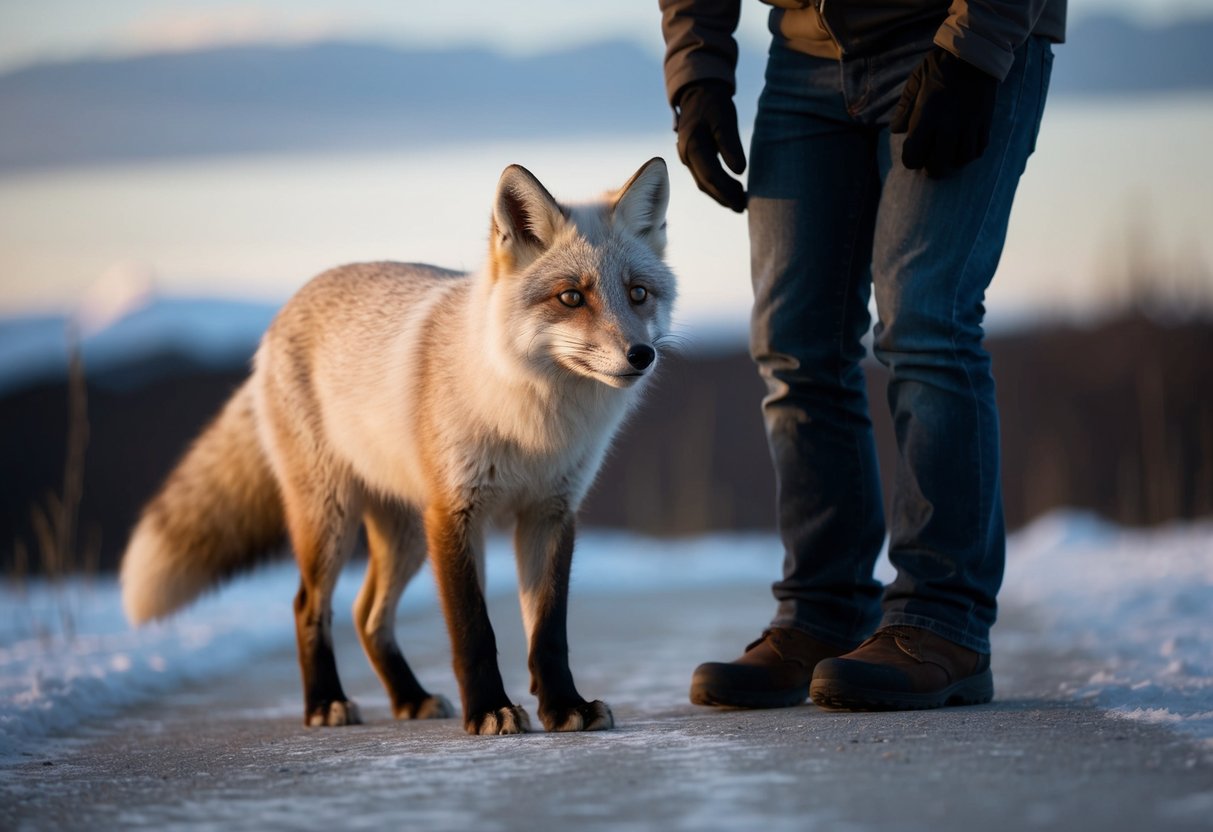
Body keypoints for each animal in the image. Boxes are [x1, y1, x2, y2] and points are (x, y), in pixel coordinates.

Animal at [119, 158, 676, 735]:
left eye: (638, 293)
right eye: (571, 297)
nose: (641, 355)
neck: (531, 425)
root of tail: (286, 309)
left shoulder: (550, 513)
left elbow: (549, 633)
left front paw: (565, 706)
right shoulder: (455, 512)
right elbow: (474, 631)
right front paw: (490, 710)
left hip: (405, 534)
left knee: (366, 616)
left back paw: (410, 697)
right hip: (333, 521)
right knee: (308, 606)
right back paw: (325, 702)